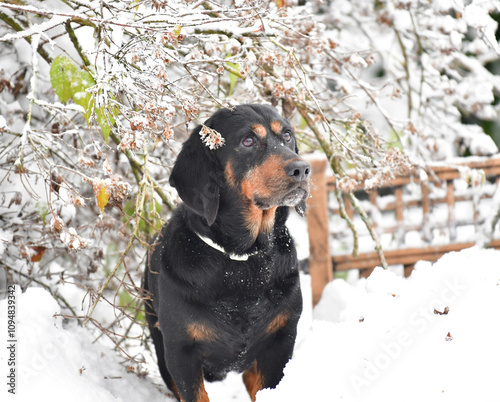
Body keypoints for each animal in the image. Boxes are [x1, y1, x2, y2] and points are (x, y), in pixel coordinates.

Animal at [143, 104, 310, 402]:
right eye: (248, 141)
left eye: (287, 136)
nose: (301, 169)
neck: (240, 261)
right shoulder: (180, 353)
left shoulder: (280, 342)